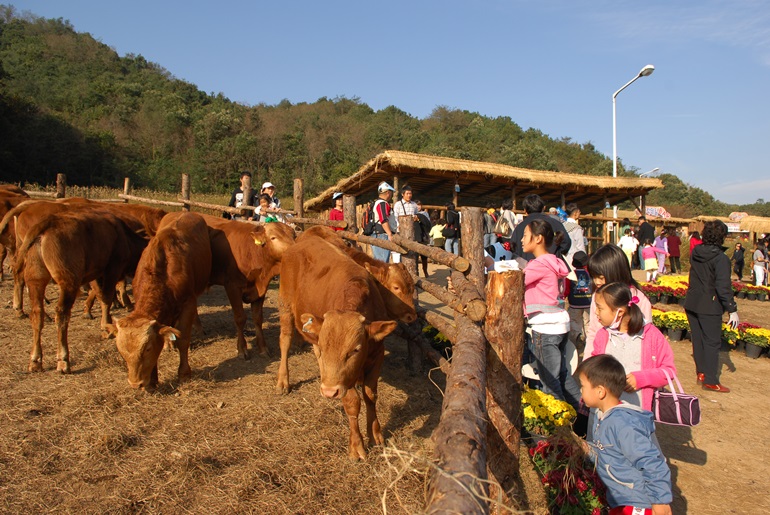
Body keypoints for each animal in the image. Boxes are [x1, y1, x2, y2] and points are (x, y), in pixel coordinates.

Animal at [16, 210, 148, 374]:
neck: (124, 236)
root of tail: (47, 223)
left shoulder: (95, 273)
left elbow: (99, 295)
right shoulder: (112, 269)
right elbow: (106, 297)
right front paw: (107, 327)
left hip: (35, 280)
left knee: (37, 313)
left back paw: (35, 360)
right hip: (69, 282)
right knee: (62, 314)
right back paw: (63, 360)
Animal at [106, 212, 212, 390]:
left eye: (147, 349)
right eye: (121, 351)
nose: (135, 383)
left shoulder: (188, 303)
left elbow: (183, 340)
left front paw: (184, 374)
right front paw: (153, 380)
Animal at [198, 216, 294, 360]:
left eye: (294, 235)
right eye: (273, 238)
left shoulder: (260, 290)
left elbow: (258, 318)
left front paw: (263, 348)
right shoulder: (232, 287)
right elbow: (240, 318)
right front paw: (242, 348)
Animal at [276, 237, 396, 460]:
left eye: (355, 350)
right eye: (327, 349)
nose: (329, 390)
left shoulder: (378, 355)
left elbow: (370, 395)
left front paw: (375, 434)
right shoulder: (342, 382)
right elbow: (352, 403)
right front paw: (356, 445)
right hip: (285, 304)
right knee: (285, 340)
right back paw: (283, 381)